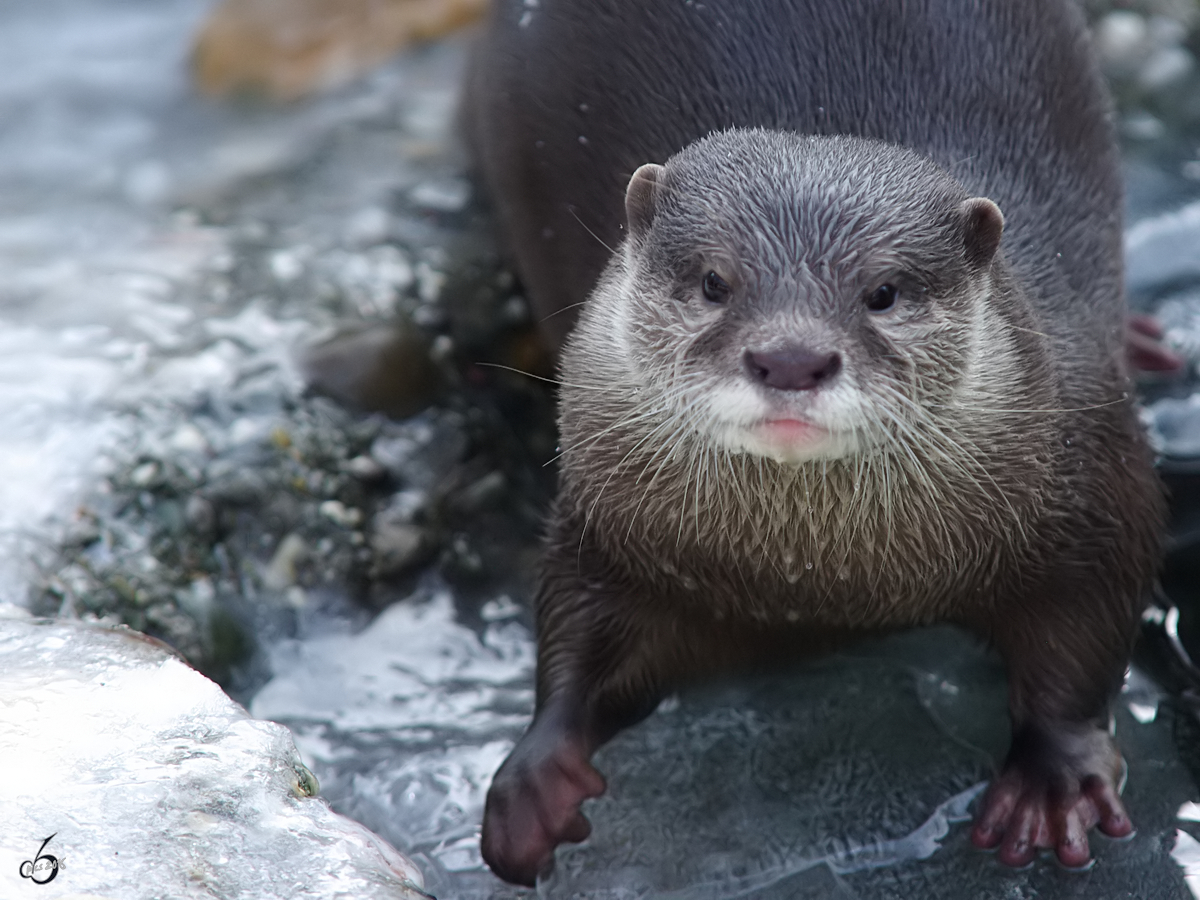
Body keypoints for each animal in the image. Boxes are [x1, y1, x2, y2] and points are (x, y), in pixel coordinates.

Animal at [463, 0, 1166, 888]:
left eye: (884, 292)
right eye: (714, 282)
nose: (791, 358)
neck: (822, 583)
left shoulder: (1095, 472)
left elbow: (1090, 634)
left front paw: (1054, 782)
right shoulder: (607, 521)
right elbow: (578, 630)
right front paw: (536, 780)